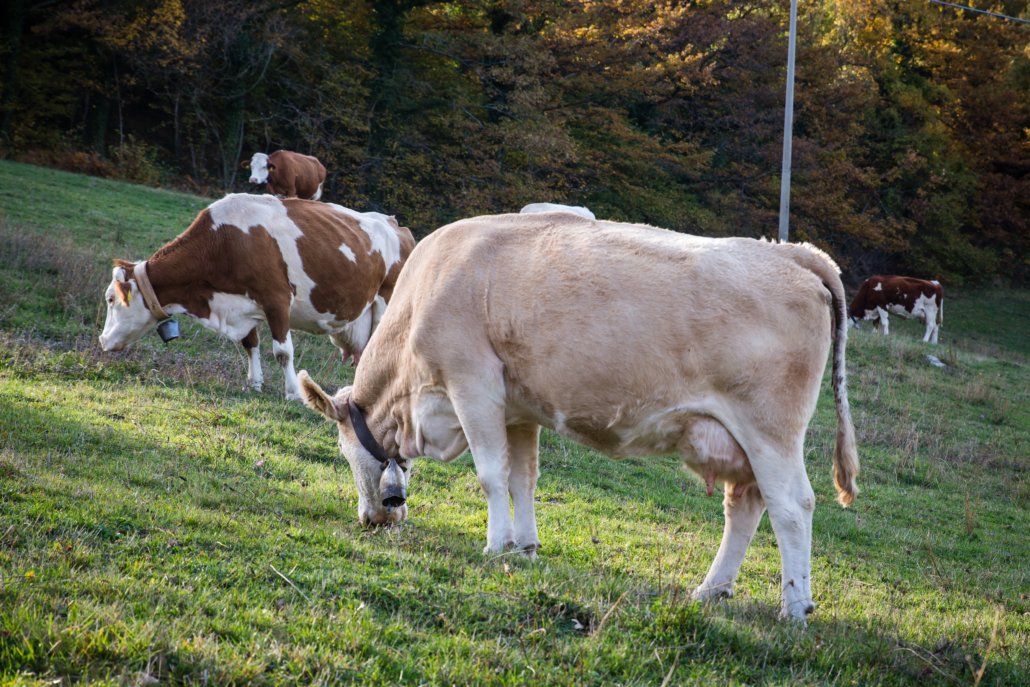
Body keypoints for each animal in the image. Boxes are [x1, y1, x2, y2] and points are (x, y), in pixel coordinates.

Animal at [98, 193, 414, 399]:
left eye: (110, 300)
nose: (102, 340)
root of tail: (394, 223)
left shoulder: (277, 299)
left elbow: (283, 352)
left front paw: (293, 393)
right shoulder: (245, 305)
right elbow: (250, 344)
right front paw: (254, 384)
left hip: (387, 304)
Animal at [296, 215, 861, 622]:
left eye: (343, 450)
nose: (371, 519)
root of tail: (793, 251)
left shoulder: (471, 382)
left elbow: (490, 475)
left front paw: (494, 545)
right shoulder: (517, 407)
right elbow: (521, 477)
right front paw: (524, 547)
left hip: (770, 431)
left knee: (792, 506)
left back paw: (794, 608)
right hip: (737, 441)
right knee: (745, 505)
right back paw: (709, 591)